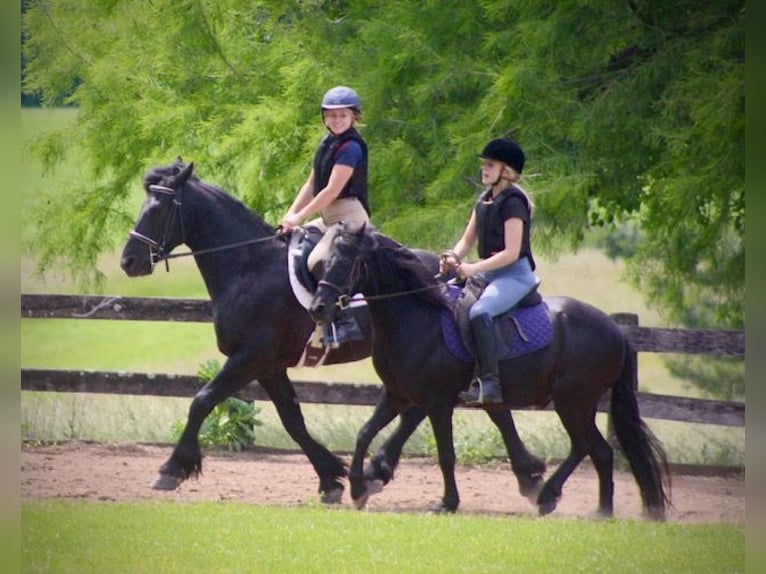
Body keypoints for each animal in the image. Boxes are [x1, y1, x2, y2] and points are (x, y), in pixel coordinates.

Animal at [119, 159, 546, 503]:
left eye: (158, 209)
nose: (129, 261)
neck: (249, 266)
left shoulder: (250, 357)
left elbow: (202, 401)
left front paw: (171, 470)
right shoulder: (269, 366)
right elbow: (293, 420)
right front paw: (331, 478)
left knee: (422, 407)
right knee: (415, 409)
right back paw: (380, 471)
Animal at [309, 222, 672, 519]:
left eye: (345, 263)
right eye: (322, 263)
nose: (318, 308)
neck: (417, 317)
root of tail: (616, 330)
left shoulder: (437, 403)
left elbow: (446, 454)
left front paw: (447, 503)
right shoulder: (398, 395)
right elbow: (364, 433)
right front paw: (358, 488)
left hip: (573, 402)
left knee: (586, 448)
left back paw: (551, 496)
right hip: (578, 405)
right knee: (601, 452)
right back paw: (600, 511)